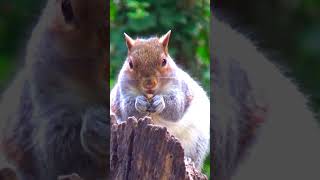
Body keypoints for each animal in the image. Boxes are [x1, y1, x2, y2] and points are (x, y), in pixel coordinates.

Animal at [110, 29, 210, 169]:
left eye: (164, 61)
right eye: (130, 64)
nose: (149, 84)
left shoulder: (181, 89)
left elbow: (176, 109)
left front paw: (160, 102)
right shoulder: (122, 93)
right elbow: (127, 111)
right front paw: (139, 103)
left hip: (197, 142)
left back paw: (189, 160)